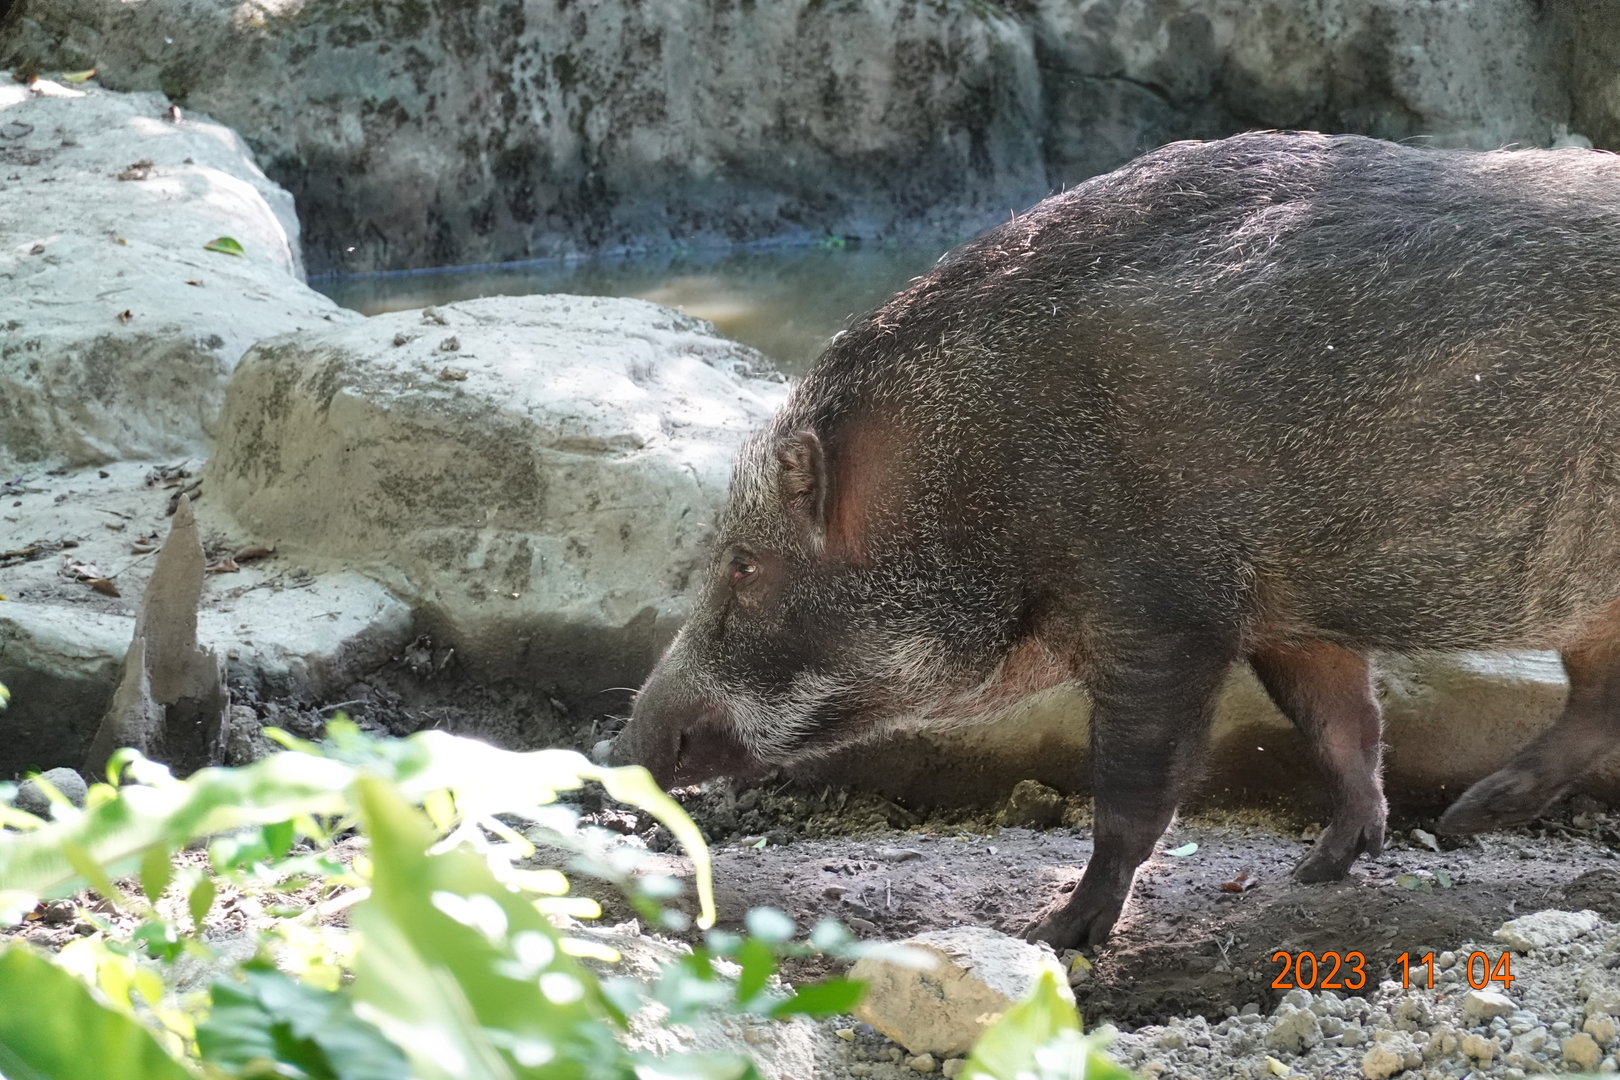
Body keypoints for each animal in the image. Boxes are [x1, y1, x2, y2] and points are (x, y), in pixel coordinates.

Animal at [613, 131, 1620, 949]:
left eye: (745, 564)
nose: (624, 746)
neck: (986, 466)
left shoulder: (1162, 616)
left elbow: (1135, 795)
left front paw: (1055, 934)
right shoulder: (1285, 618)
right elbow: (1344, 727)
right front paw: (1322, 867)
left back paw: (1468, 820)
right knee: (1590, 705)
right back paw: (1465, 821)